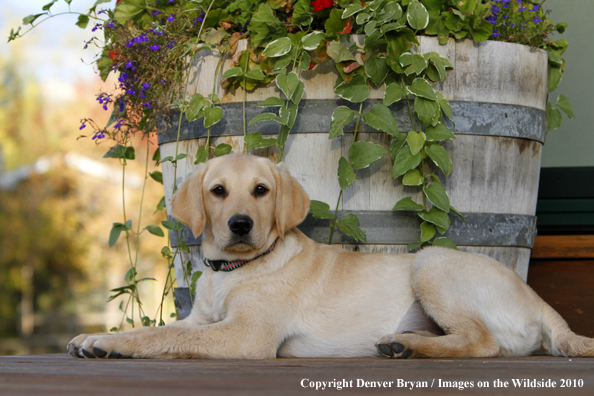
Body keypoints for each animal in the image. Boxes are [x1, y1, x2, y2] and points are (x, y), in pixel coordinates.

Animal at [67, 152, 592, 358]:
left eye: (261, 191)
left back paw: (407, 346)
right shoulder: (202, 320)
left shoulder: (247, 335)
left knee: (481, 342)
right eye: (218, 192)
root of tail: (542, 304)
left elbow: (164, 338)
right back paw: (403, 342)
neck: (235, 270)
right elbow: (162, 329)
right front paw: (99, 335)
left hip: (432, 262)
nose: (240, 225)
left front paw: (113, 344)